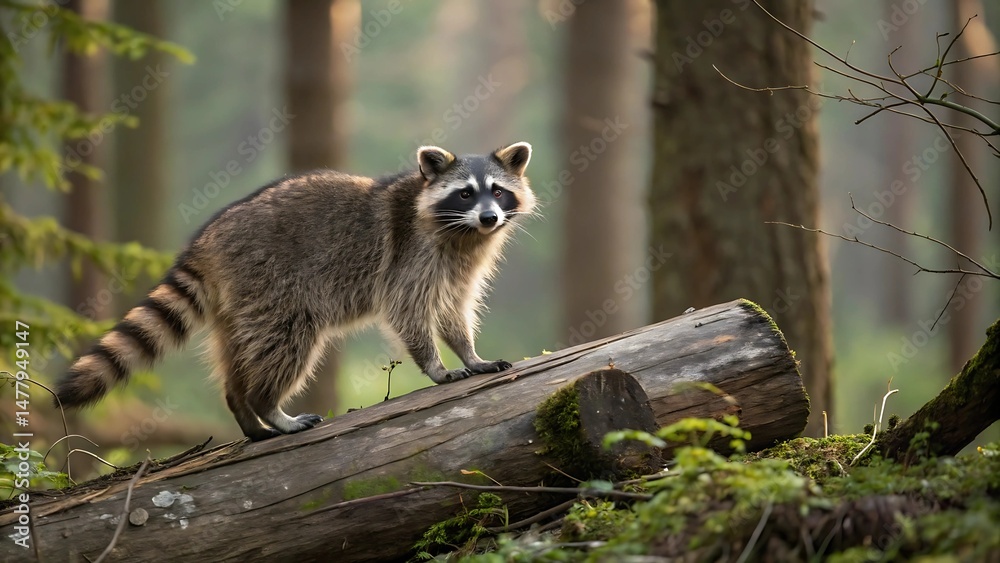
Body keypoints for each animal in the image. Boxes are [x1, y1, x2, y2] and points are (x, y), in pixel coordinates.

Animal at [56, 142, 536, 441]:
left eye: (497, 191)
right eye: (465, 194)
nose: (490, 218)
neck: (464, 234)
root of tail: (208, 239)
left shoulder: (460, 267)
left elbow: (454, 309)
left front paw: (469, 352)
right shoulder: (411, 255)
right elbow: (408, 311)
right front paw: (435, 364)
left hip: (237, 303)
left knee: (237, 351)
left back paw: (243, 409)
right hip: (272, 282)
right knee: (286, 341)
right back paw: (267, 405)